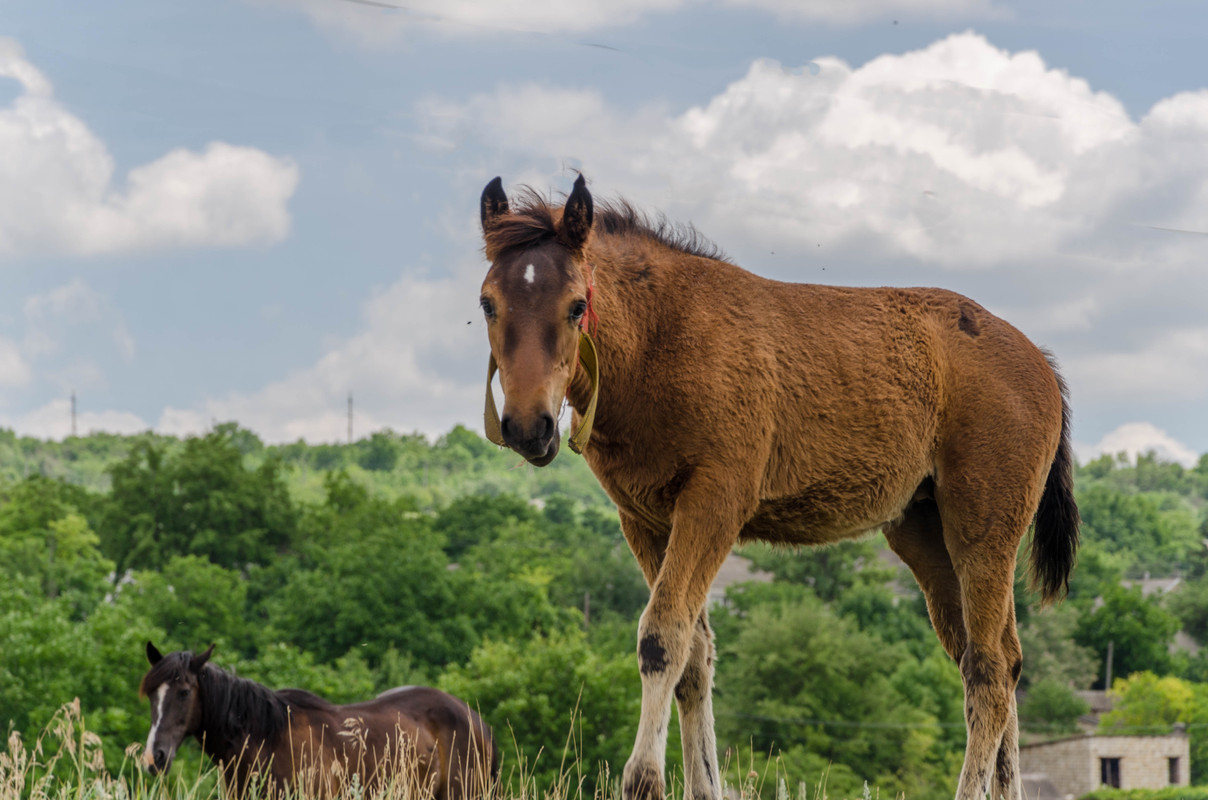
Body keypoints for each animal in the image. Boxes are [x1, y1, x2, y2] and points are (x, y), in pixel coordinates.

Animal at [475, 178, 1082, 800]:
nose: (527, 427)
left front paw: (644, 779)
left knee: (988, 669)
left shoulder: (714, 502)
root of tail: (1042, 366)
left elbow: (662, 636)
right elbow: (695, 653)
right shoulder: (645, 520)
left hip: (983, 530)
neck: (660, 340)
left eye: (576, 305)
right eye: (487, 303)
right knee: (1000, 659)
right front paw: (703, 786)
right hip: (925, 532)